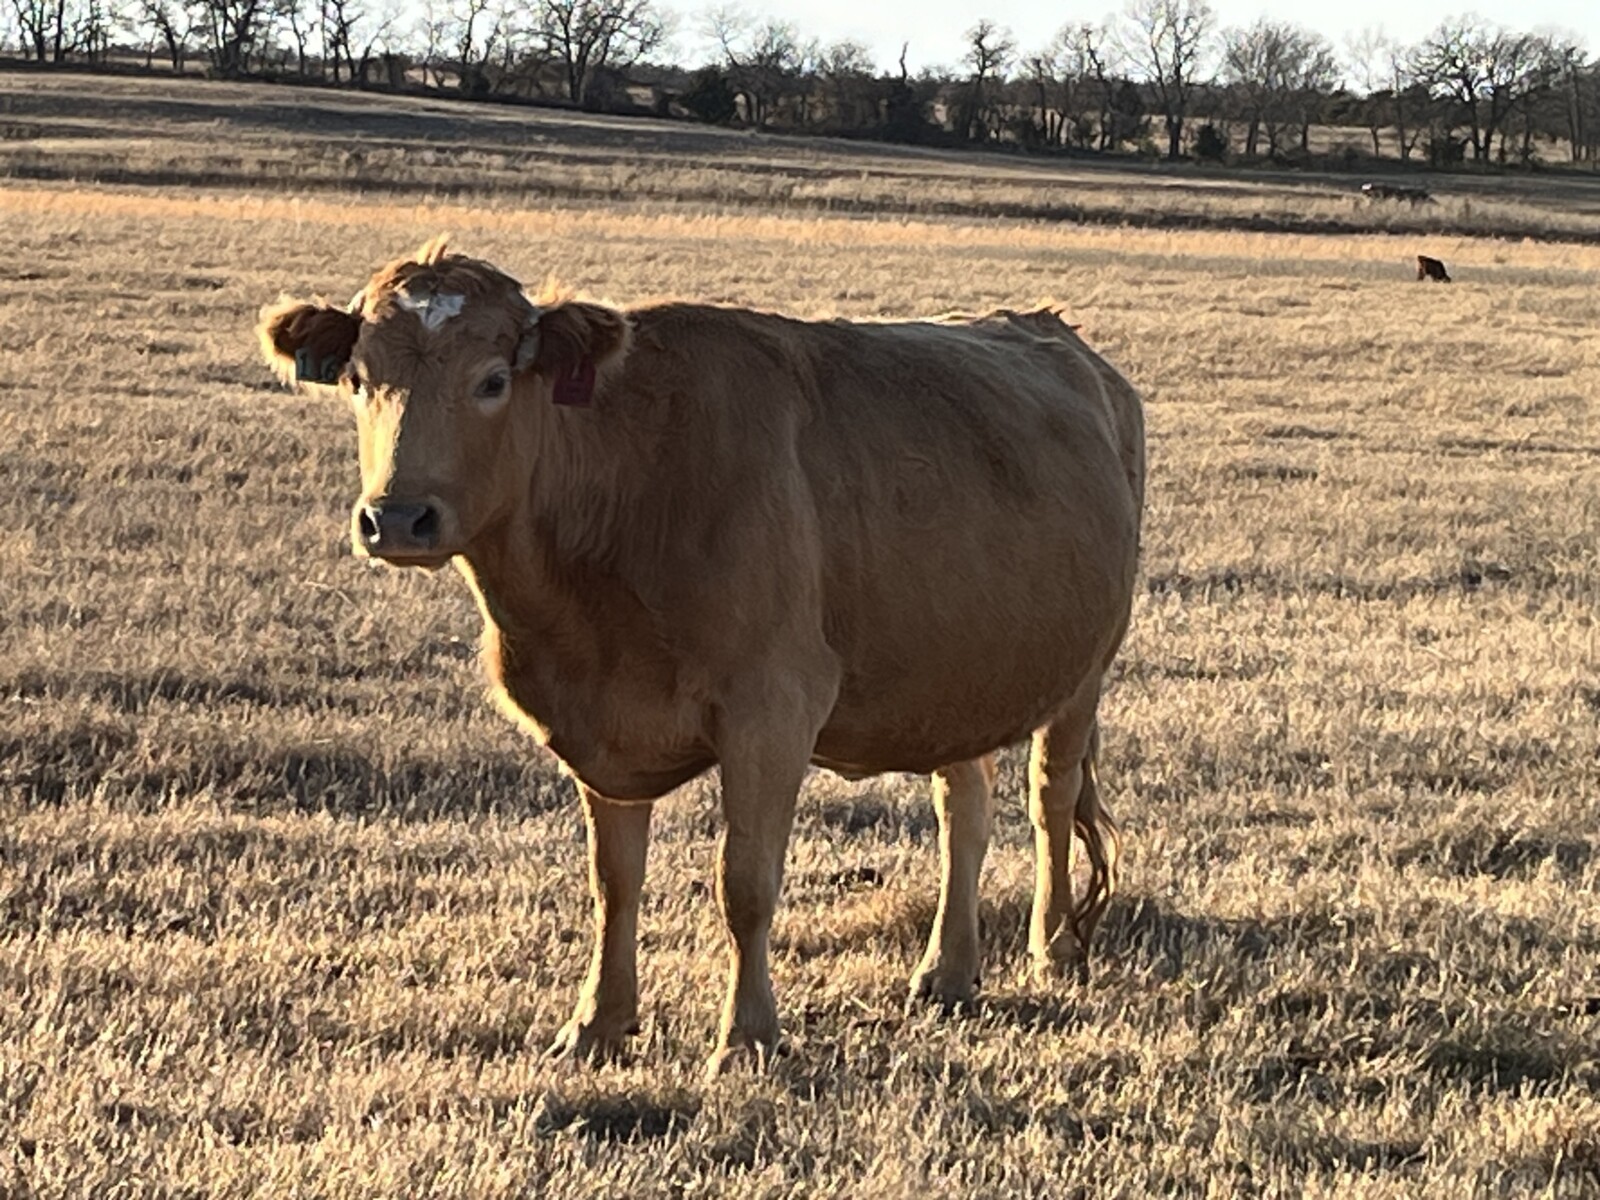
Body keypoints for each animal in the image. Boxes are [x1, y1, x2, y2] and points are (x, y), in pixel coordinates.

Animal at [257, 238, 1146, 1075]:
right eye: (359, 379)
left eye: (493, 379)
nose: (397, 518)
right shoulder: (599, 727)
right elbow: (614, 882)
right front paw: (596, 1024)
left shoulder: (771, 711)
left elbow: (744, 883)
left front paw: (746, 1036)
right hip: (955, 675)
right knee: (965, 805)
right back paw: (947, 971)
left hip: (1084, 674)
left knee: (1050, 797)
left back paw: (1053, 945)